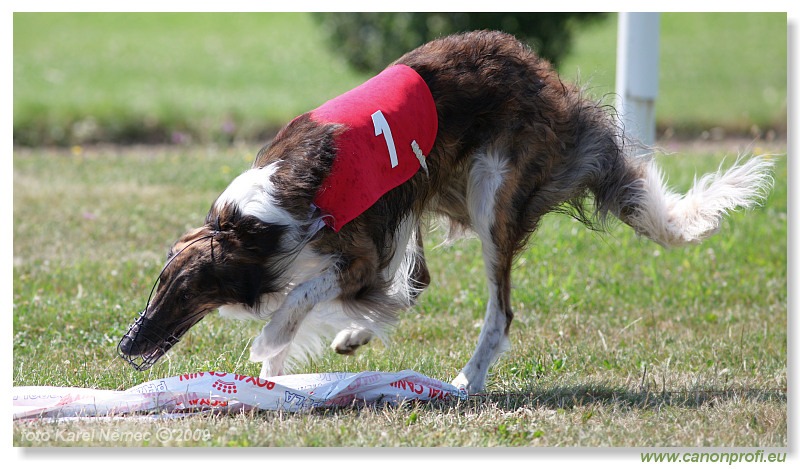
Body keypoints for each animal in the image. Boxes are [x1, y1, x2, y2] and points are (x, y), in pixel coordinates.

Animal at [115, 31, 772, 394]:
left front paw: (269, 348)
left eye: (181, 290)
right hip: (430, 187)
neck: (256, 223)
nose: (126, 344)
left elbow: (301, 300)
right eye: (158, 283)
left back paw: (468, 380)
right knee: (421, 280)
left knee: (500, 311)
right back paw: (358, 336)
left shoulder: (358, 253)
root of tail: (544, 74)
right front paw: (294, 359)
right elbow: (350, 297)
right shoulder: (369, 242)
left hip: (491, 195)